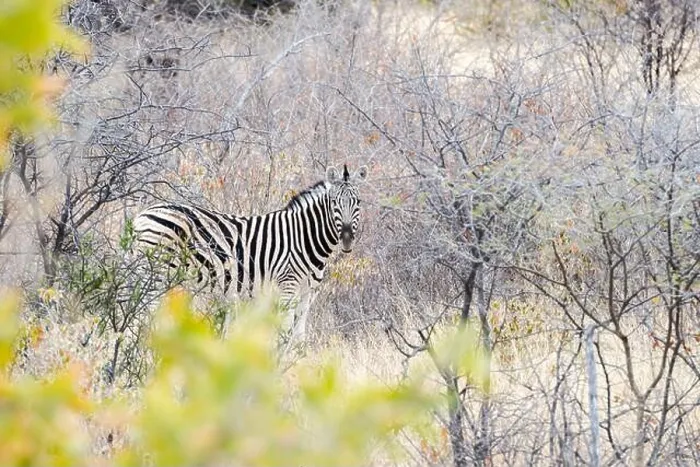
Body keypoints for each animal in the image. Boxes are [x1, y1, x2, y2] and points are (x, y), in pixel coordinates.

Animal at [132, 164, 367, 343]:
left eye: (358, 202)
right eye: (335, 203)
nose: (347, 238)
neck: (304, 237)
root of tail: (142, 215)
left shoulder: (309, 292)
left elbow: (299, 336)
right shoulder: (287, 286)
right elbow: (284, 332)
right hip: (155, 274)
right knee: (142, 315)